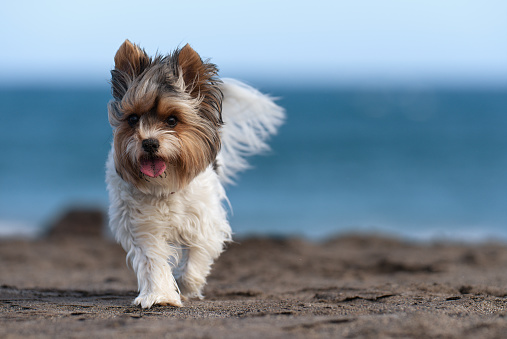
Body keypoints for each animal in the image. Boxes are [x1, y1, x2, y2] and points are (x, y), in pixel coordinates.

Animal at [106, 39, 286, 308]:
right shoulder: (142, 223)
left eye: (172, 120)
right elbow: (152, 259)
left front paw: (186, 287)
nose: (149, 142)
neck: (166, 184)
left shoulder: (204, 222)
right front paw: (160, 296)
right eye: (133, 119)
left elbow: (196, 259)